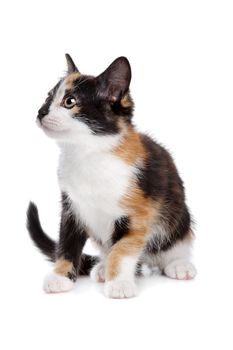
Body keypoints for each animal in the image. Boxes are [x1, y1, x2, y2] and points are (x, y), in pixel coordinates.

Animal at [26, 54, 197, 298]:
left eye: (70, 101)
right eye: (48, 97)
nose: (41, 112)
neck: (88, 154)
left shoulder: (138, 213)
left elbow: (122, 249)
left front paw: (119, 284)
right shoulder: (71, 208)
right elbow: (66, 243)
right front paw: (61, 277)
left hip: (177, 214)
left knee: (175, 241)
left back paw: (178, 264)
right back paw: (102, 267)